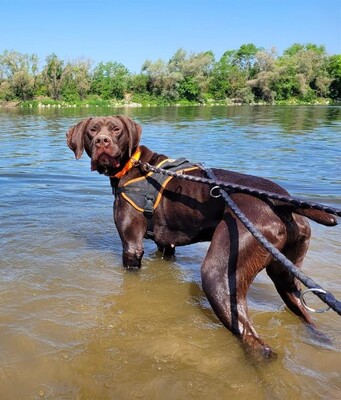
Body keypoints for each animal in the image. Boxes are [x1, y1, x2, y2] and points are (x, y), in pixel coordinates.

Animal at [65, 115, 334, 360]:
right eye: (92, 130)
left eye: (116, 129)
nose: (102, 141)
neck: (135, 166)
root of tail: (282, 201)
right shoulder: (167, 244)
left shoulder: (132, 246)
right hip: (285, 274)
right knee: (301, 310)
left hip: (219, 272)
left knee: (257, 343)